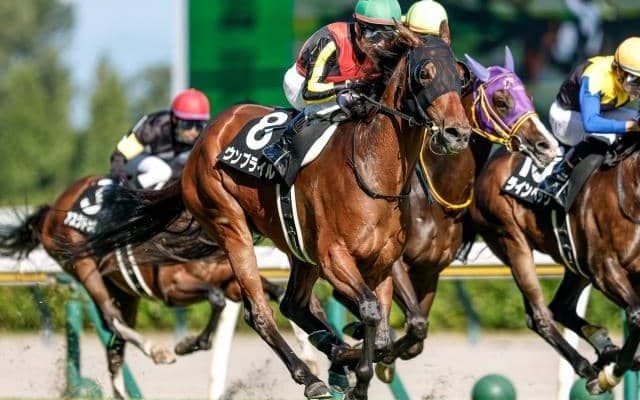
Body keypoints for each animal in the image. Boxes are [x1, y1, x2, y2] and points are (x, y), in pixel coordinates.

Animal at [0, 175, 288, 399]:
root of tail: (52, 209)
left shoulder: (229, 280)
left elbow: (263, 294)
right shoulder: (172, 287)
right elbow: (215, 298)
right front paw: (187, 344)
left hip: (124, 292)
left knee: (115, 347)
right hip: (84, 266)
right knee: (112, 319)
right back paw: (157, 351)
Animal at [63, 28, 472, 400]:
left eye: (460, 75)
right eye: (424, 73)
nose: (457, 133)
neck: (372, 169)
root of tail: (207, 136)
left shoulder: (382, 264)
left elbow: (392, 333)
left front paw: (353, 358)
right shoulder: (334, 258)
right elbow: (371, 312)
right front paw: (355, 375)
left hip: (297, 248)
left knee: (293, 303)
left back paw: (332, 353)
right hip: (230, 225)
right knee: (257, 311)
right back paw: (310, 377)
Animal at [468, 83, 640, 394]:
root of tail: (490, 163)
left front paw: (617, 360)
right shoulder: (604, 268)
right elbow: (636, 316)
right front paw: (613, 372)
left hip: (574, 260)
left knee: (561, 307)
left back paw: (605, 348)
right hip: (512, 242)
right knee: (539, 316)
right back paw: (590, 366)